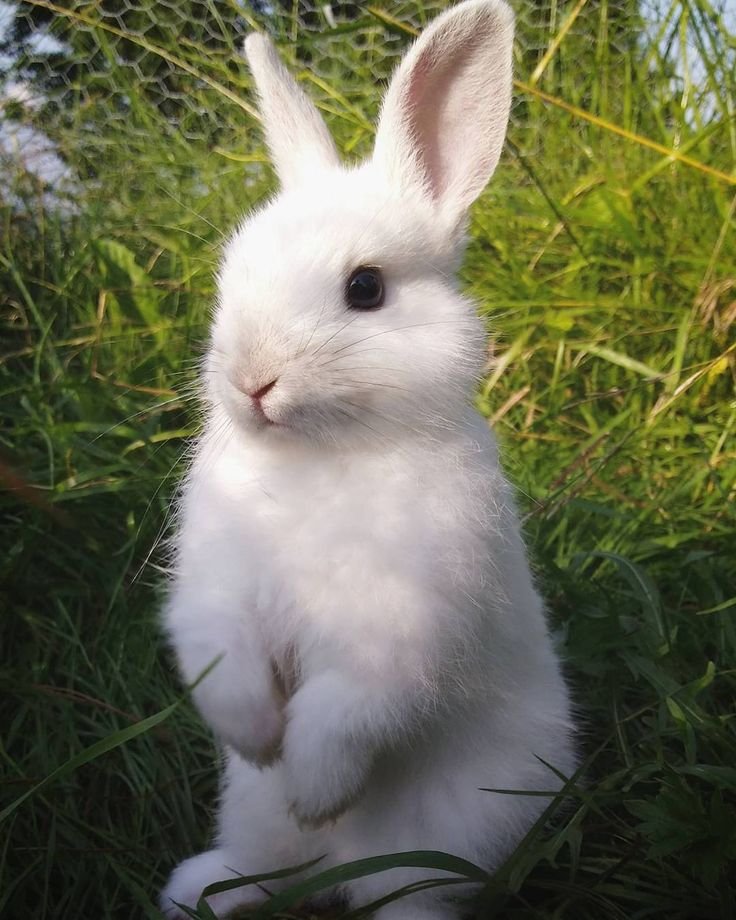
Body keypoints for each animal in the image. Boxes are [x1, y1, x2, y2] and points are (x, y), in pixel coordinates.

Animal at [159, 1, 577, 918]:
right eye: (232, 274)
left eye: (366, 289)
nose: (251, 381)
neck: (318, 458)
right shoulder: (216, 592)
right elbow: (225, 666)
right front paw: (259, 739)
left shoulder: (399, 631)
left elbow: (344, 712)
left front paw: (314, 787)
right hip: (245, 811)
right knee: (265, 863)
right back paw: (195, 887)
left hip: (453, 833)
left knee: (404, 893)